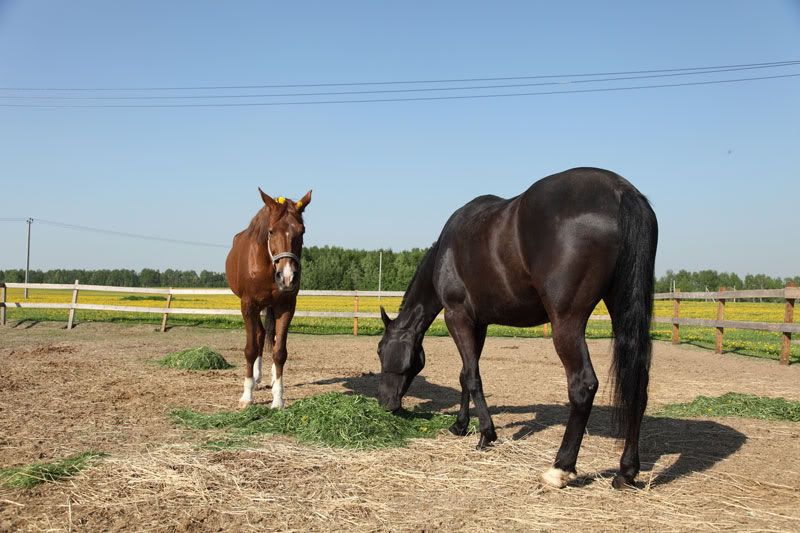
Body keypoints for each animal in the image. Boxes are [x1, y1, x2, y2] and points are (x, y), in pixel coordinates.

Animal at [228, 189, 312, 410]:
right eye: (271, 231)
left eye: (302, 231)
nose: (287, 277)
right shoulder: (248, 305)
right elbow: (250, 349)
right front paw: (247, 396)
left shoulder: (286, 306)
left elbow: (279, 352)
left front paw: (278, 399)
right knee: (259, 336)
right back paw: (256, 380)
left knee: (269, 337)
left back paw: (273, 378)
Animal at [378, 168, 660, 488]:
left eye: (380, 350)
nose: (385, 402)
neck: (447, 250)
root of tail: (620, 190)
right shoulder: (479, 323)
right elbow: (465, 374)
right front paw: (460, 425)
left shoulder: (457, 317)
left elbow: (472, 377)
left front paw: (486, 435)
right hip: (623, 309)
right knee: (638, 384)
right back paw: (626, 472)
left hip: (567, 323)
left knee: (583, 385)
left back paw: (560, 468)